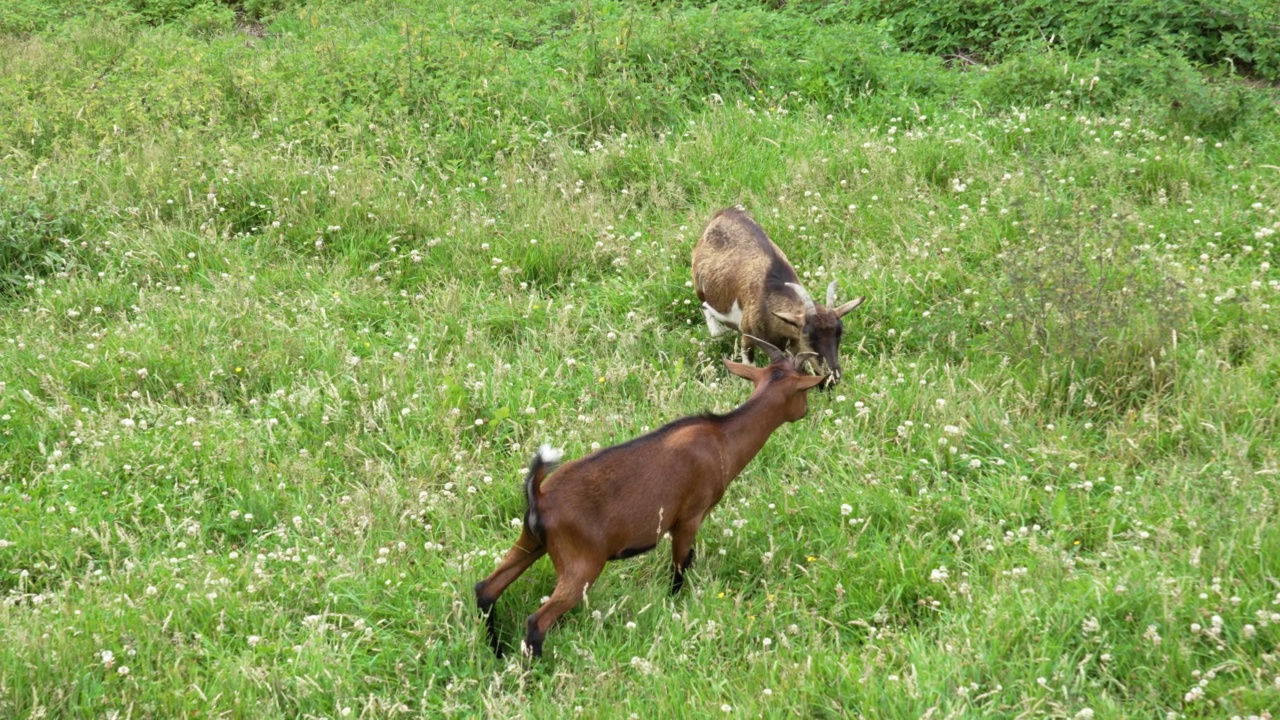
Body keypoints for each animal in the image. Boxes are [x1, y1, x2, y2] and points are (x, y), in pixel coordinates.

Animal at [476, 338, 824, 661]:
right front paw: (675, 604)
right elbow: (680, 566)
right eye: (803, 391)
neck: (722, 440)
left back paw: (497, 652)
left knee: (486, 589)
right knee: (536, 621)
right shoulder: (689, 516)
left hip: (531, 541)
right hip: (581, 561)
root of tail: (539, 495)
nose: (805, 412)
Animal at [696, 206, 865, 381]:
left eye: (839, 332)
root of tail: (723, 213)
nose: (833, 376)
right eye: (807, 335)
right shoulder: (748, 336)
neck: (769, 293)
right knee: (705, 308)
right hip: (699, 287)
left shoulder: (792, 343)